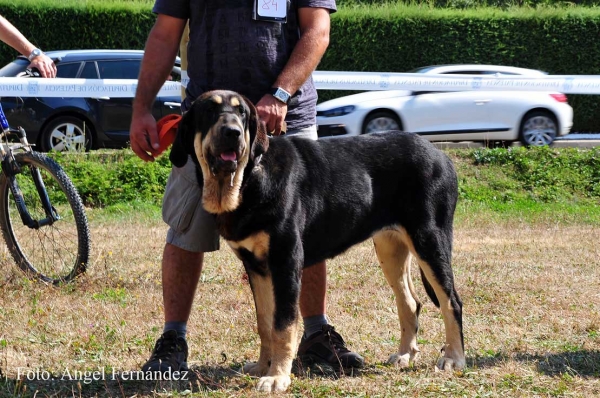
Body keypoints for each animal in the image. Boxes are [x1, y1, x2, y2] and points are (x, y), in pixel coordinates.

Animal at [171, 89, 466, 392]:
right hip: (390, 249)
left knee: (451, 301)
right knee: (409, 302)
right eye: (209, 111)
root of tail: (442, 156)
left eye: (242, 112)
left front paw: (277, 376)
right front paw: (263, 366)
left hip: (430, 240)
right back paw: (405, 354)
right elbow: (265, 323)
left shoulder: (285, 262)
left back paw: (453, 358)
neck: (250, 177)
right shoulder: (256, 267)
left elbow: (283, 325)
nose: (232, 132)